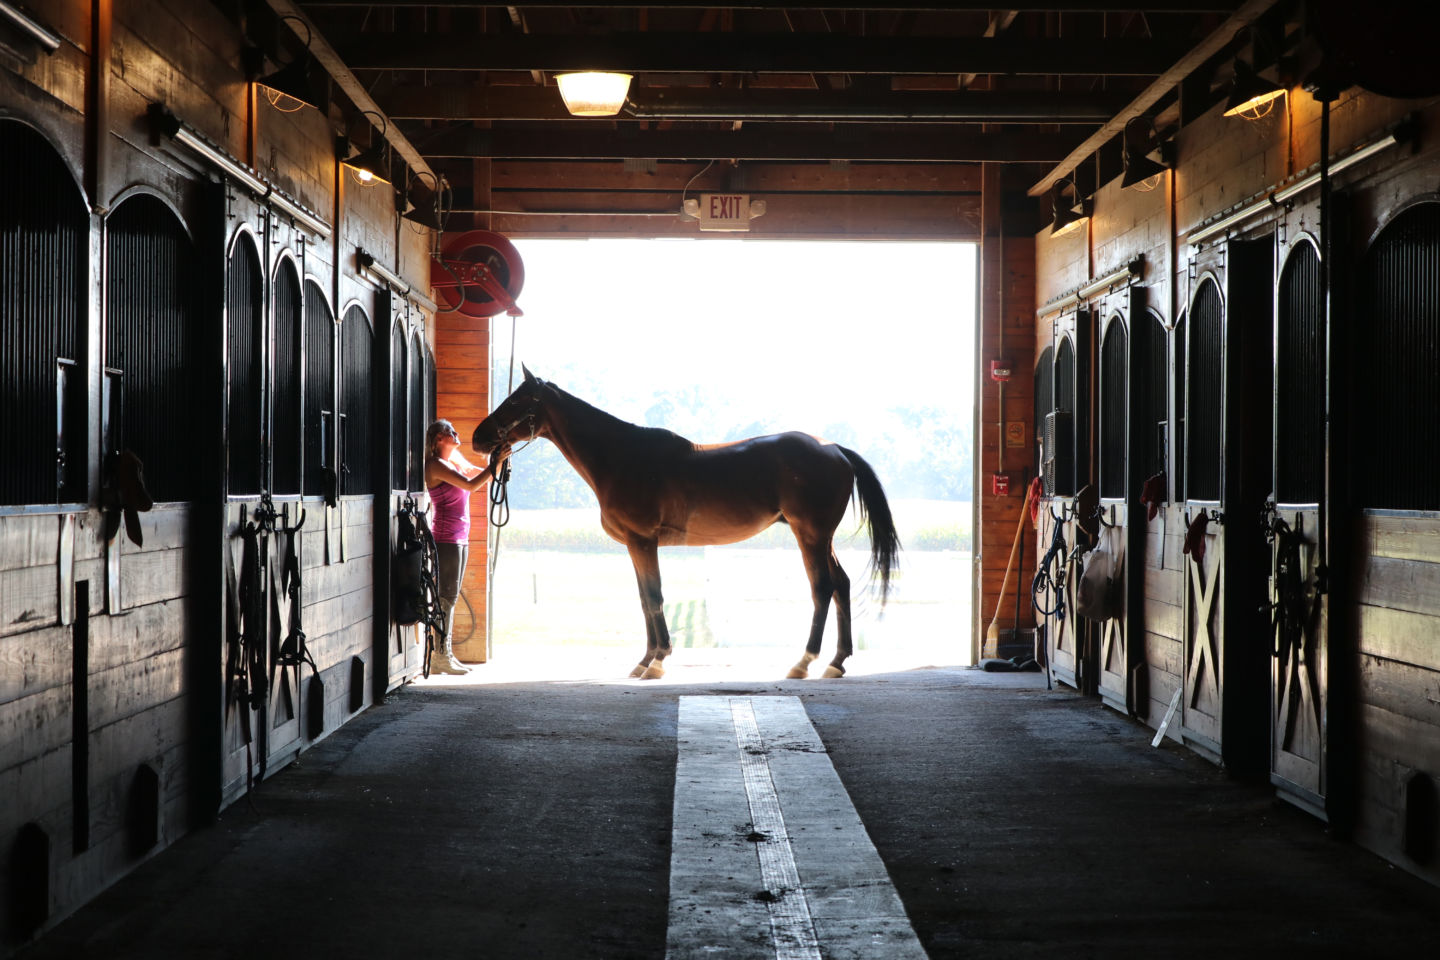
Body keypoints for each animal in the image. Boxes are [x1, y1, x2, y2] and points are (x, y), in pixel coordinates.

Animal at [472, 364, 898, 679]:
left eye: (517, 400)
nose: (478, 438)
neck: (621, 457)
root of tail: (834, 448)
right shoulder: (635, 545)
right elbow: (645, 598)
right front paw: (645, 660)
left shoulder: (643, 540)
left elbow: (655, 596)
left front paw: (658, 661)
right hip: (821, 538)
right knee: (842, 585)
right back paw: (836, 662)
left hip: (810, 534)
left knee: (823, 588)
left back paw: (804, 662)